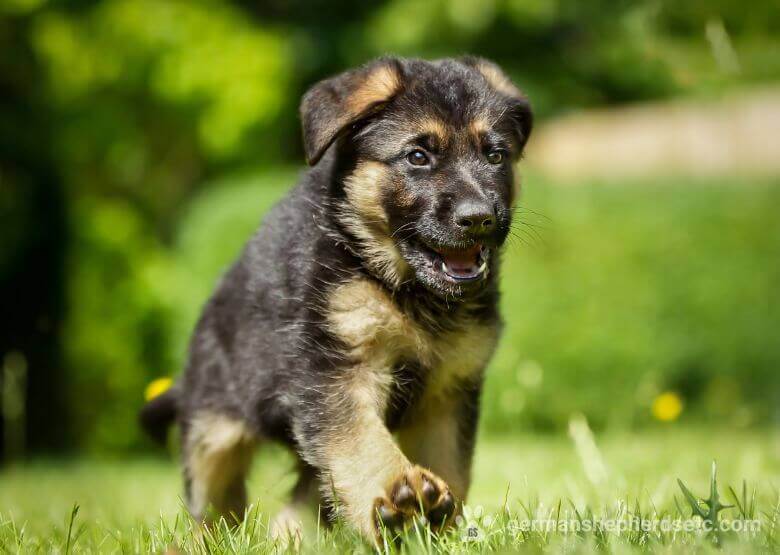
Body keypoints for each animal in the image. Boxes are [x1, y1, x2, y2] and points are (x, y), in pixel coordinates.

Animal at [140, 55, 532, 540]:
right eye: (418, 157)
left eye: (495, 156)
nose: (478, 218)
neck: (403, 288)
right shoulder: (337, 368)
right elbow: (360, 439)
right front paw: (397, 492)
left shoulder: (448, 390)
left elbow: (450, 464)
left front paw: (440, 528)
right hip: (212, 430)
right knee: (214, 501)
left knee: (308, 495)